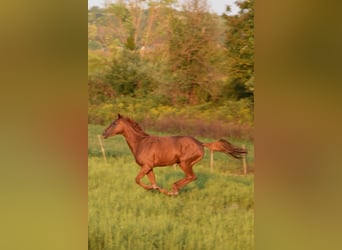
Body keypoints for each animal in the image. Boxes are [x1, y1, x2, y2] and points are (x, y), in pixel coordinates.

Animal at [103, 114, 247, 196]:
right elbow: (153, 182)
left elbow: (138, 180)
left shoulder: (146, 166)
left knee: (192, 176)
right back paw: (172, 190)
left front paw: (153, 189)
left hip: (184, 163)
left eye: (114, 123)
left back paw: (174, 189)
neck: (141, 142)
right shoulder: (149, 167)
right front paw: (156, 189)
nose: (104, 133)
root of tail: (200, 143)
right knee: (190, 177)